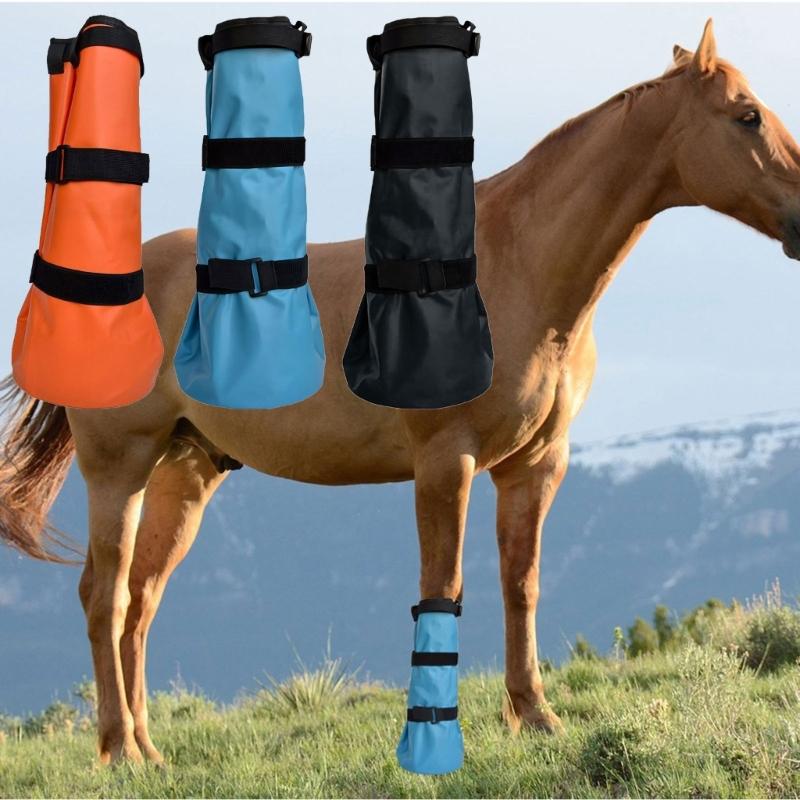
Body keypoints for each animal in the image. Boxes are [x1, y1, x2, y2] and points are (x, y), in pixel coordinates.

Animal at [1, 20, 799, 765]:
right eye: (747, 115)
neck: (512, 263)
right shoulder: (447, 462)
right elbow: (444, 585)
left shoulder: (536, 466)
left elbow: (522, 586)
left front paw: (536, 717)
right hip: (120, 468)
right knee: (104, 597)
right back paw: (119, 752)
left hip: (186, 473)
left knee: (140, 601)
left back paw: (149, 749)